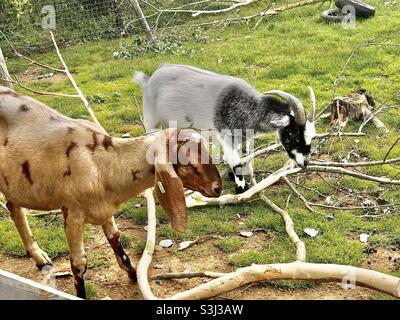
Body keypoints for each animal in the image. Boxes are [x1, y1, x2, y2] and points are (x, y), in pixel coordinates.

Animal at [0, 86, 222, 298]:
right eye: (188, 161)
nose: (218, 187)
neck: (102, 162)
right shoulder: (72, 213)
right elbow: (79, 263)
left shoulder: (105, 211)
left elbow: (116, 241)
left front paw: (133, 275)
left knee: (13, 207)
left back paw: (39, 258)